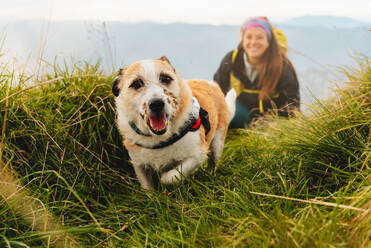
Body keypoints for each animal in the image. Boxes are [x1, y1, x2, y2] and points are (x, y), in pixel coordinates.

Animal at [112, 56, 237, 190]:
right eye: (136, 84)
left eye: (166, 78)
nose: (157, 104)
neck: (159, 139)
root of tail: (210, 83)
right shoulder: (139, 164)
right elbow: (147, 187)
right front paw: (152, 193)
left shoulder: (197, 155)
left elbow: (172, 176)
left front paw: (164, 180)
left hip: (218, 143)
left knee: (213, 162)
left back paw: (209, 177)